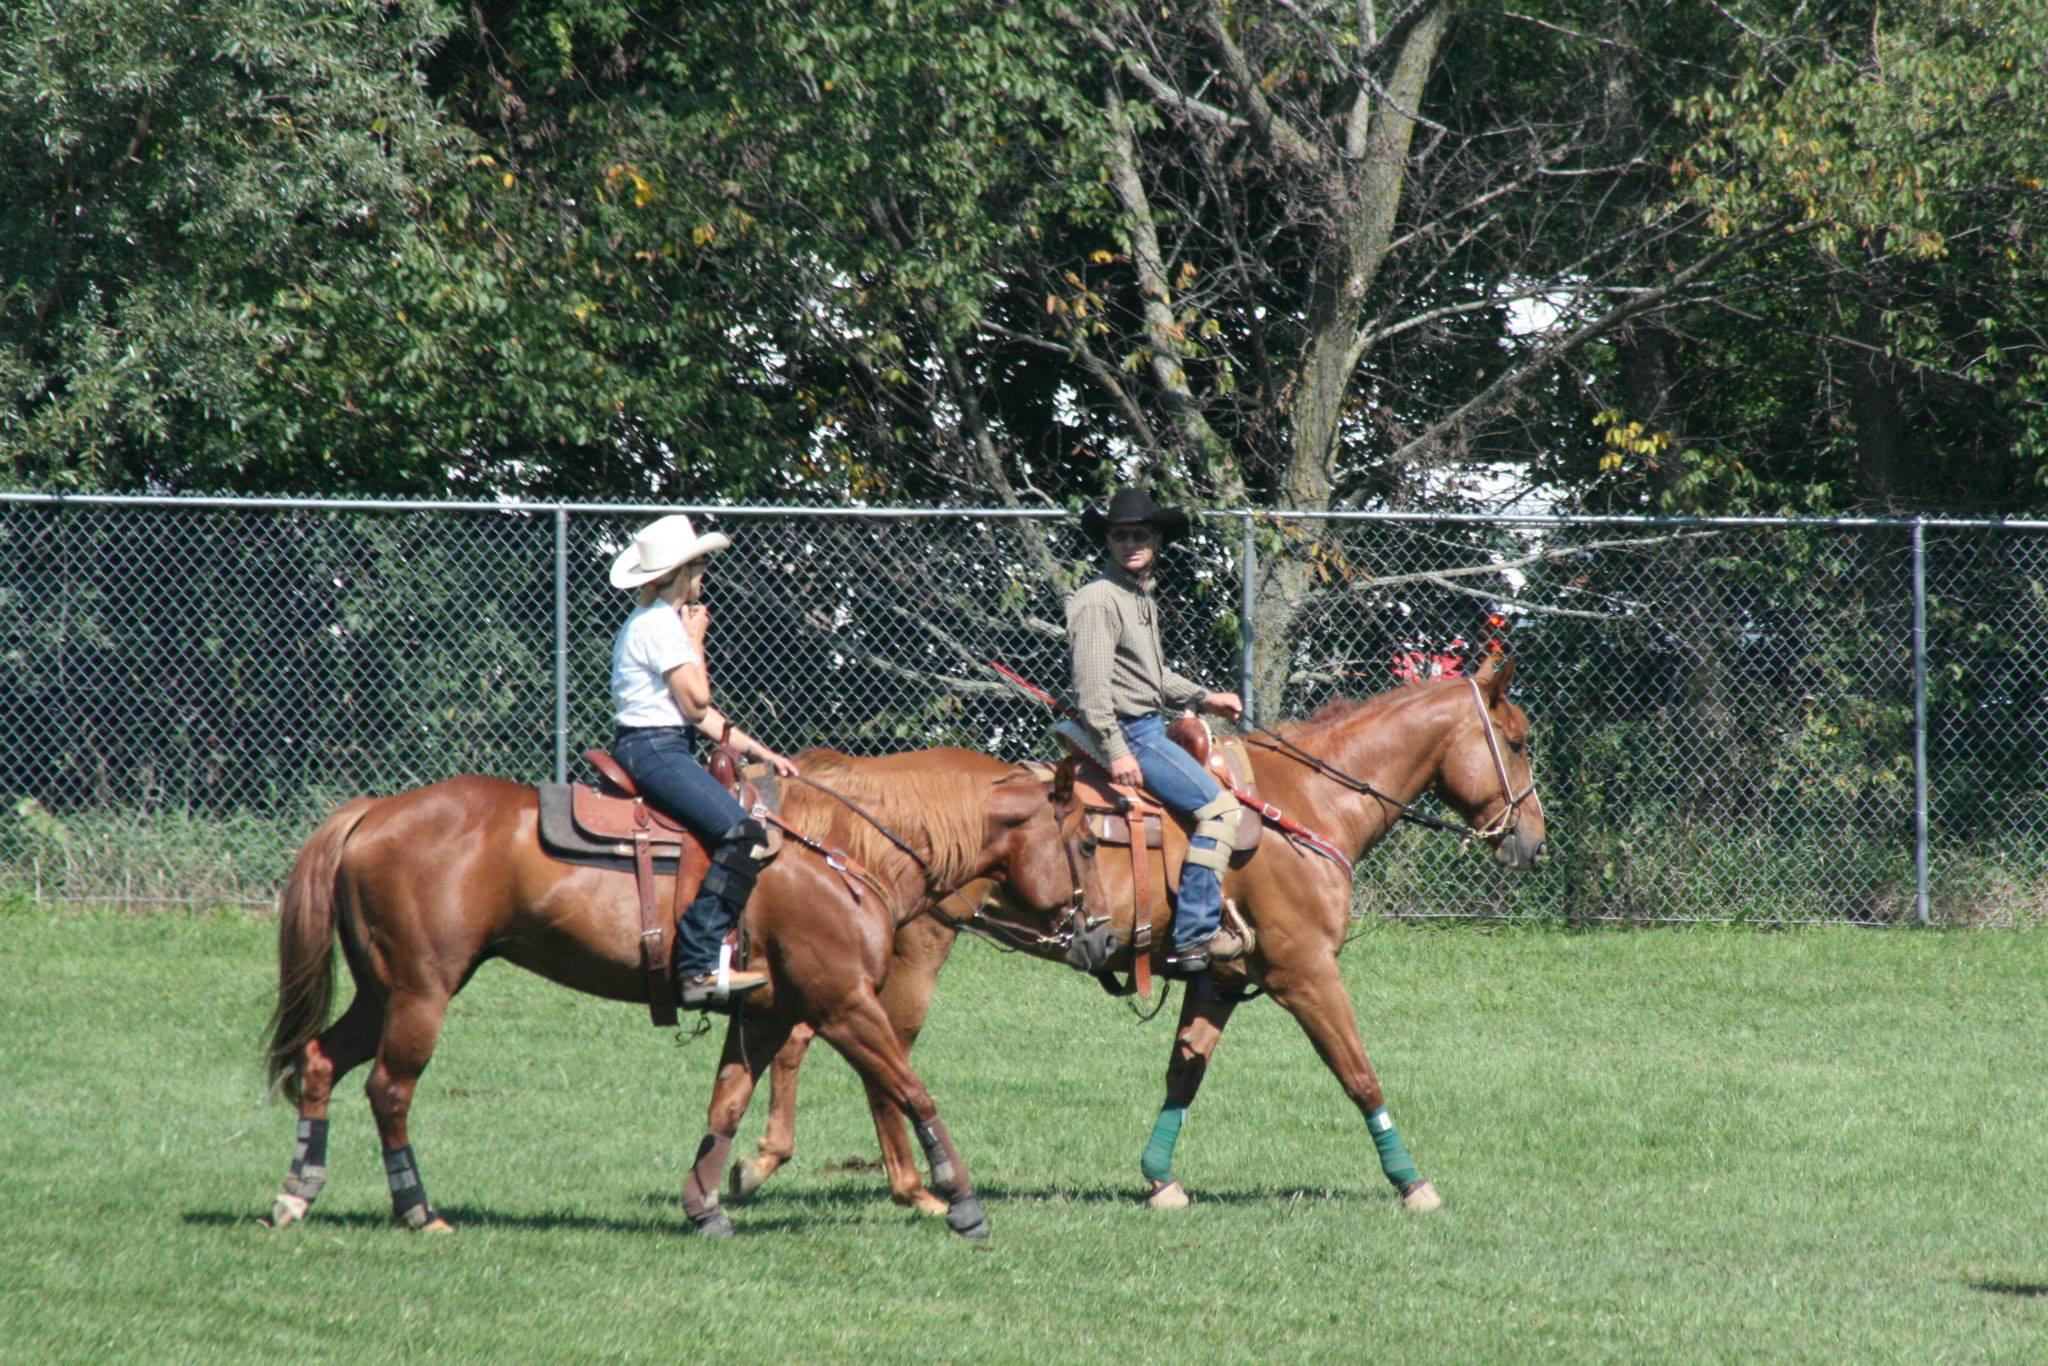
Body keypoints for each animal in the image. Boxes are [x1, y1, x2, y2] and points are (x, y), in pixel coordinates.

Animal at [268, 749, 1105, 1236]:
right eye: (1088, 844)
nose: (1097, 934)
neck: (842, 852)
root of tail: (372, 813)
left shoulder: (766, 1016)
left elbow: (726, 1107)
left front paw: (706, 1204)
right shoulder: (843, 1005)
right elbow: (910, 1086)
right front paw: (959, 1200)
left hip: (382, 990)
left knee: (320, 1061)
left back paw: (298, 1191)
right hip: (421, 991)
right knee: (389, 1088)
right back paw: (417, 1211)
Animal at [729, 663, 1540, 1220]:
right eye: (1518, 741)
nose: (1531, 840)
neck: (1309, 803)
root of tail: (845, 780)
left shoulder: (1221, 980)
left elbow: (1184, 1073)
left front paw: (1160, 1179)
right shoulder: (1305, 971)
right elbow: (1358, 1072)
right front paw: (1412, 1182)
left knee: (801, 1042)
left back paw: (761, 1163)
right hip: (911, 949)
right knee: (876, 1053)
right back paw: (902, 1184)